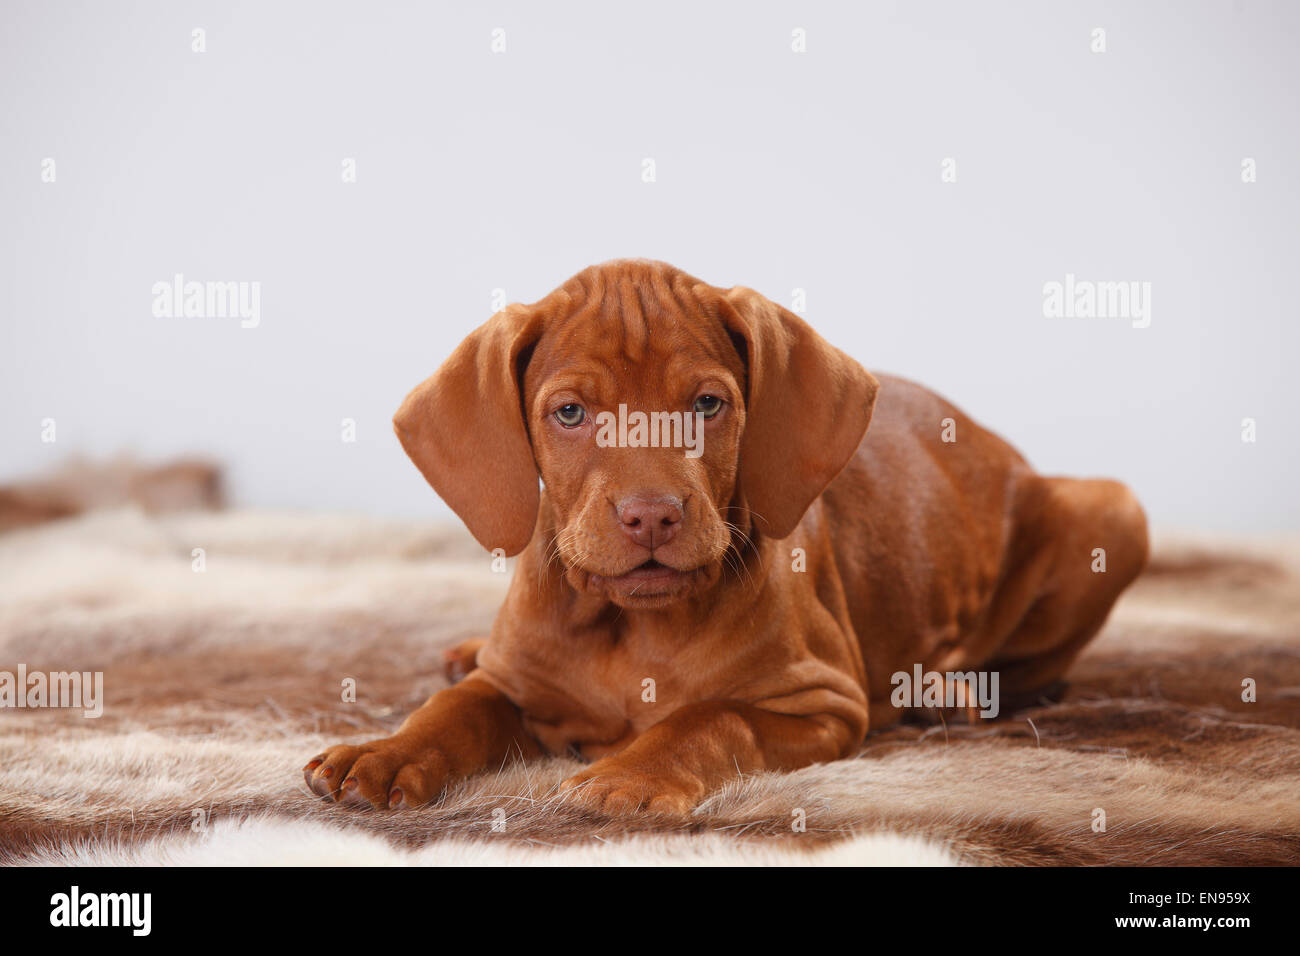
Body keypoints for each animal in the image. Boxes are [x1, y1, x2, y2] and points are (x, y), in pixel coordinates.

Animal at [299, 260, 1144, 816]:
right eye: (570, 413)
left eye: (707, 404)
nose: (650, 515)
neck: (632, 627)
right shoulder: (516, 685)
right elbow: (456, 708)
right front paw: (383, 753)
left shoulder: (823, 703)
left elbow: (711, 717)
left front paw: (630, 776)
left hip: (1114, 513)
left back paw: (948, 691)